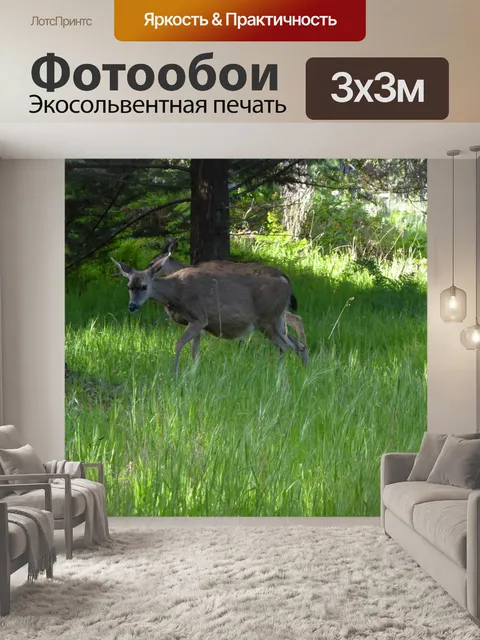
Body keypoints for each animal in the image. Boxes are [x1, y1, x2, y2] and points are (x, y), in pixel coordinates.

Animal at [112, 257, 308, 376]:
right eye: (129, 286)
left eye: (144, 286)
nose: (132, 306)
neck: (175, 293)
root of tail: (286, 282)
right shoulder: (197, 324)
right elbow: (194, 351)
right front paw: (193, 374)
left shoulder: (199, 317)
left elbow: (178, 344)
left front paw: (175, 374)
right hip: (276, 320)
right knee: (296, 344)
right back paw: (302, 372)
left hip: (268, 319)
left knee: (285, 344)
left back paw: (279, 376)